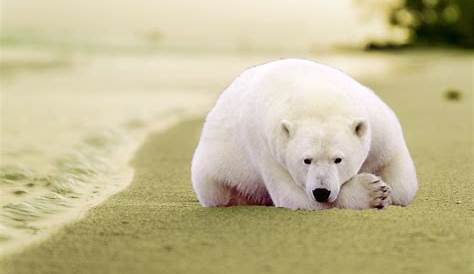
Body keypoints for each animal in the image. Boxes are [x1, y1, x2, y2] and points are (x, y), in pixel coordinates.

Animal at [191, 58, 416, 210]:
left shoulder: (378, 124)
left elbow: (400, 175)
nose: (321, 192)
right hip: (215, 174)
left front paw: (387, 190)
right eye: (306, 160)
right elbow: (293, 196)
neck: (315, 95)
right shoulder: (268, 148)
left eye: (338, 159)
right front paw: (374, 192)